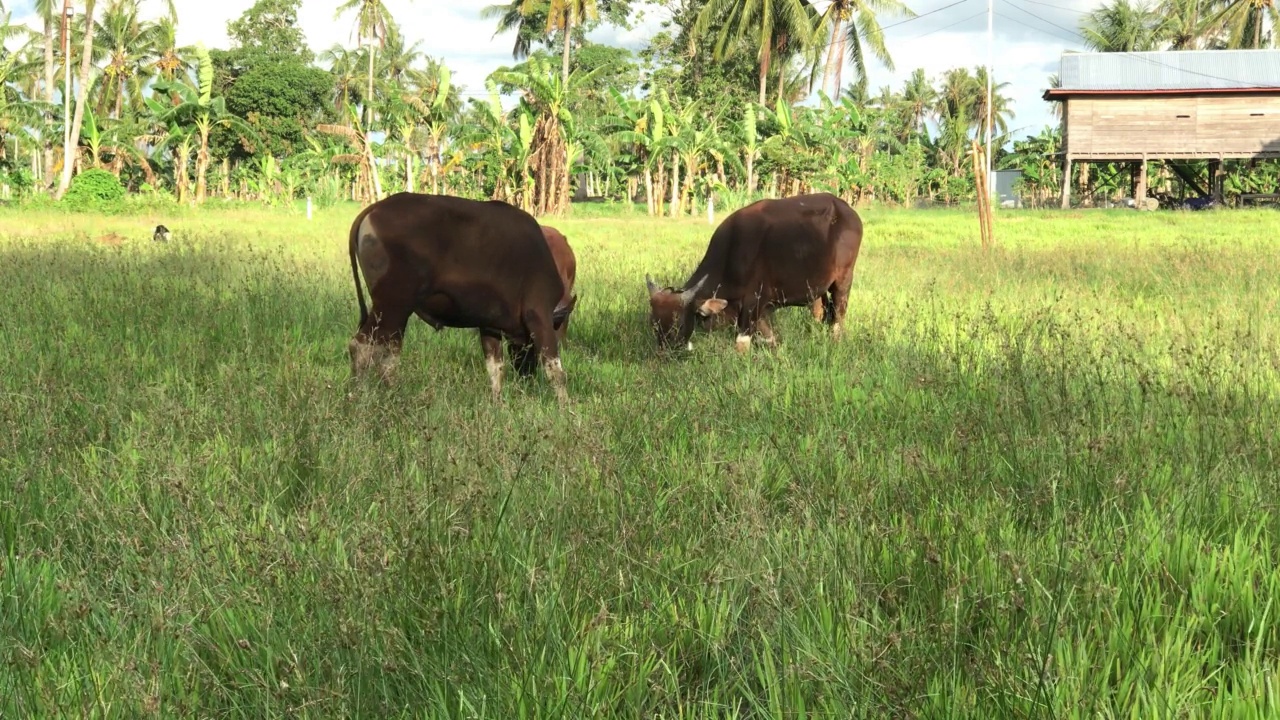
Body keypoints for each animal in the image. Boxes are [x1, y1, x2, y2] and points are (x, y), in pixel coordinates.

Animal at [350, 192, 570, 404]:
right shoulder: (539, 315)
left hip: (393, 311)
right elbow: (555, 370)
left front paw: (498, 403)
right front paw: (565, 406)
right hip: (393, 306)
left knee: (389, 351)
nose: (527, 375)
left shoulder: (489, 326)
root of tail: (375, 208)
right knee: (362, 347)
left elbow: (495, 368)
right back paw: (360, 395)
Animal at [645, 192, 865, 351]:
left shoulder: (753, 302)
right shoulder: (761, 309)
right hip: (817, 285)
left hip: (843, 280)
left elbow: (741, 344)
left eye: (679, 324)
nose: (666, 352)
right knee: (821, 310)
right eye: (654, 324)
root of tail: (847, 210)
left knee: (838, 315)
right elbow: (771, 339)